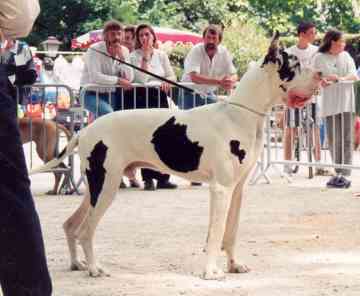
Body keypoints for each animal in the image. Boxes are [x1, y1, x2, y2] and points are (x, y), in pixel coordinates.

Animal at [32, 33, 322, 280]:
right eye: (296, 64)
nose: (320, 74)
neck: (240, 114)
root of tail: (86, 130)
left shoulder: (238, 189)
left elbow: (231, 232)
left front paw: (233, 265)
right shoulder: (221, 189)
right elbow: (216, 232)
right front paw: (211, 272)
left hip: (97, 186)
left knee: (71, 225)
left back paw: (77, 263)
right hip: (105, 186)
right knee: (86, 230)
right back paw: (94, 268)